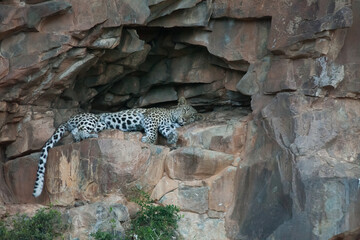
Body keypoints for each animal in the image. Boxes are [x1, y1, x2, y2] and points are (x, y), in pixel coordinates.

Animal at [32, 96, 201, 198]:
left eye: (192, 116)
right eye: (185, 110)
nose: (184, 120)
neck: (172, 117)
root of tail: (69, 119)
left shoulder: (165, 125)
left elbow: (169, 130)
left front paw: (172, 137)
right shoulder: (151, 117)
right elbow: (153, 132)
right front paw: (148, 139)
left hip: (99, 124)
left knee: (76, 133)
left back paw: (86, 136)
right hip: (93, 119)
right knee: (80, 130)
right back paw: (91, 136)